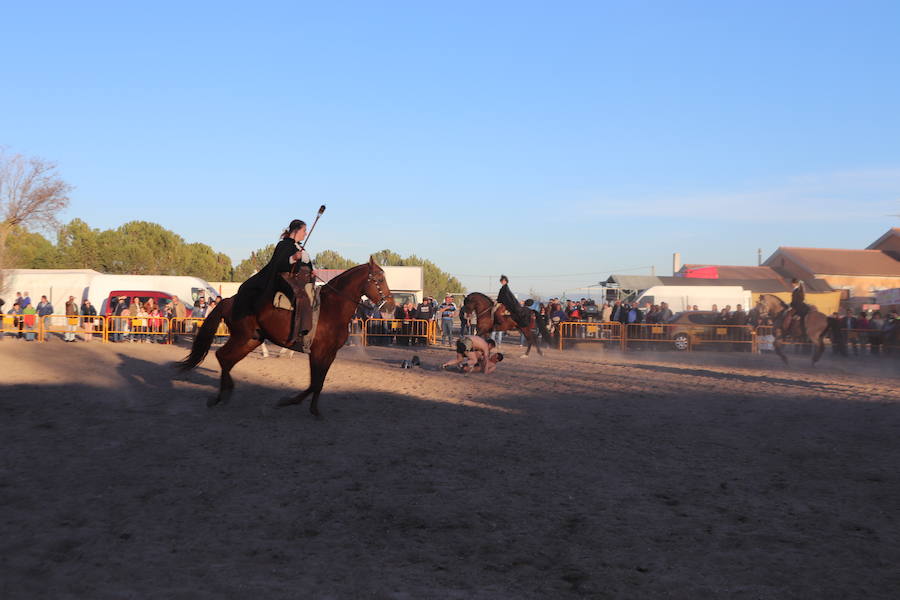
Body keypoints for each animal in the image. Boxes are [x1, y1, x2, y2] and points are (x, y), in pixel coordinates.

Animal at [178, 255, 392, 414]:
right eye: (380, 279)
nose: (390, 306)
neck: (332, 308)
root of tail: (229, 300)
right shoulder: (318, 351)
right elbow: (315, 382)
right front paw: (289, 401)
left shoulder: (330, 353)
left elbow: (319, 382)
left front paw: (313, 409)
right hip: (242, 337)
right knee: (222, 356)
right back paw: (221, 395)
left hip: (252, 340)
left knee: (227, 359)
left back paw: (224, 394)